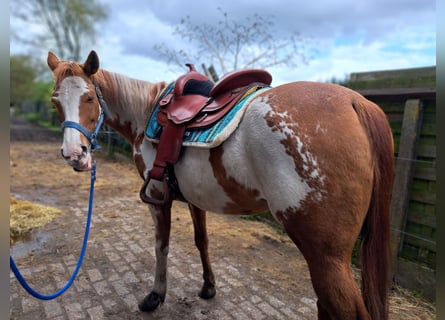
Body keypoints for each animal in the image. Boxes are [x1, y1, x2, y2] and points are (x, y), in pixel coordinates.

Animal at [46, 51, 392, 318]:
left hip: (326, 256)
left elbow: (162, 245)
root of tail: (356, 103)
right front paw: (208, 286)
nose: (75, 154)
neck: (146, 113)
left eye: (89, 97)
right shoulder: (195, 198)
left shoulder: (158, 198)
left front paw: (156, 296)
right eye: (55, 102)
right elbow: (202, 241)